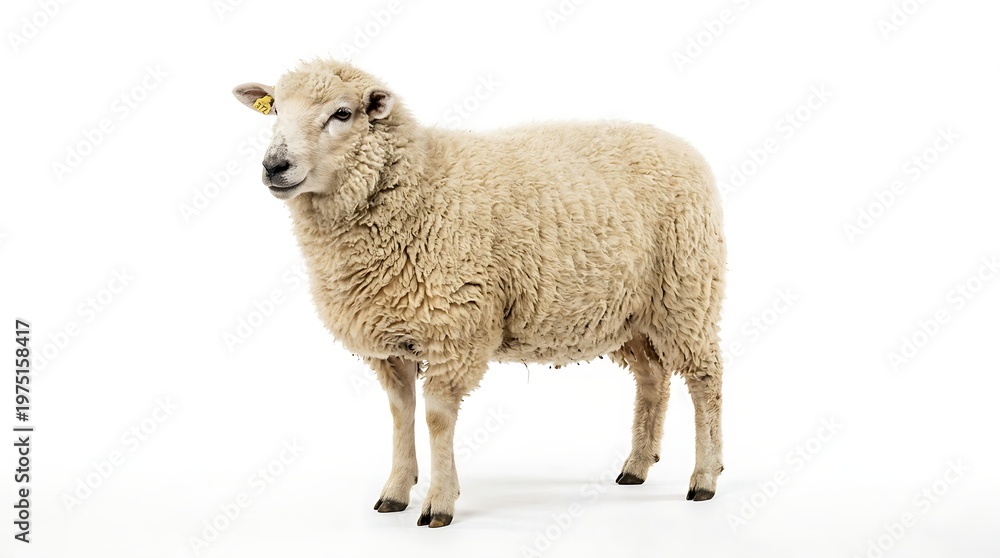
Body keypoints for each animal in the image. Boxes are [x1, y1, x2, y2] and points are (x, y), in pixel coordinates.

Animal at [232, 59, 726, 528]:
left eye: (342, 113)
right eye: (274, 109)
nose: (274, 166)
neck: (417, 188)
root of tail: (679, 144)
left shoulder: (455, 330)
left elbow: (436, 417)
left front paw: (438, 503)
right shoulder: (392, 340)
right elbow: (400, 411)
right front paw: (396, 490)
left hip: (687, 291)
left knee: (705, 379)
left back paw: (704, 477)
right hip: (632, 313)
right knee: (653, 378)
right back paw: (637, 465)